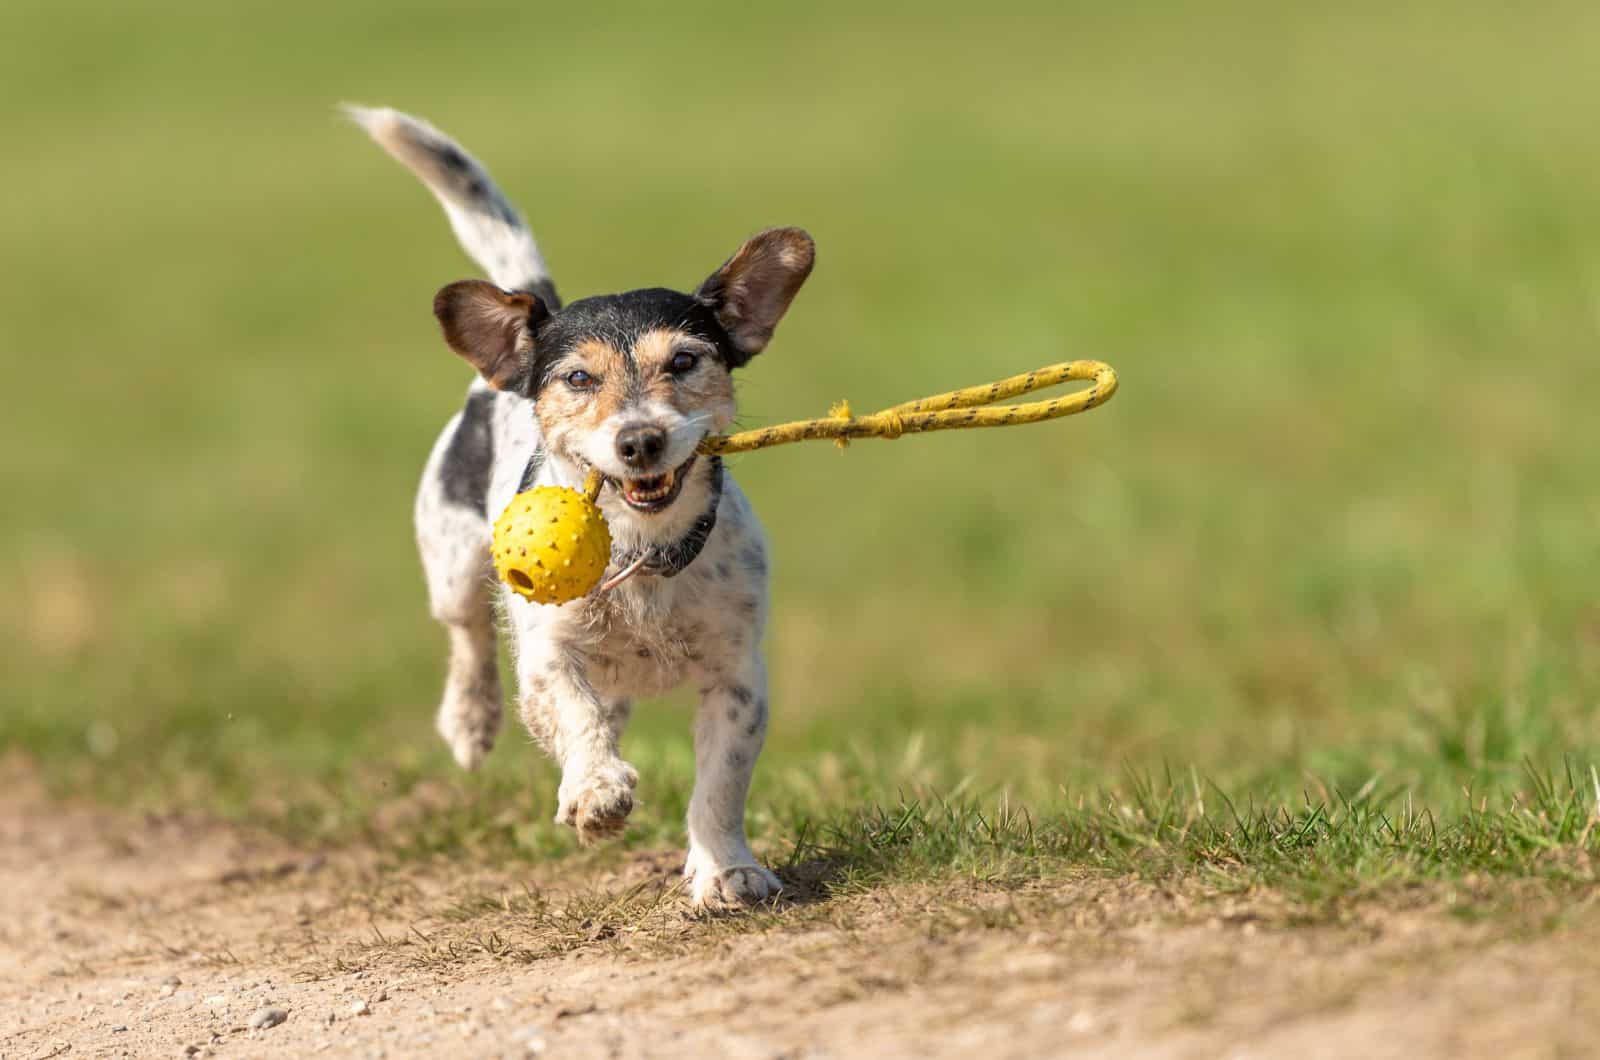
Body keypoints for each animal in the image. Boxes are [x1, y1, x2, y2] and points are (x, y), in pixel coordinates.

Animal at [344, 105, 806, 915]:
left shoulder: (738, 678)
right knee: (469, 639)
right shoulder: (549, 652)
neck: (644, 553)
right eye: (579, 378)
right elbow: (572, 711)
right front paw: (595, 790)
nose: (640, 439)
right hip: (452, 560)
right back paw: (472, 720)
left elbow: (720, 785)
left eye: (685, 361)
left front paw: (726, 870)